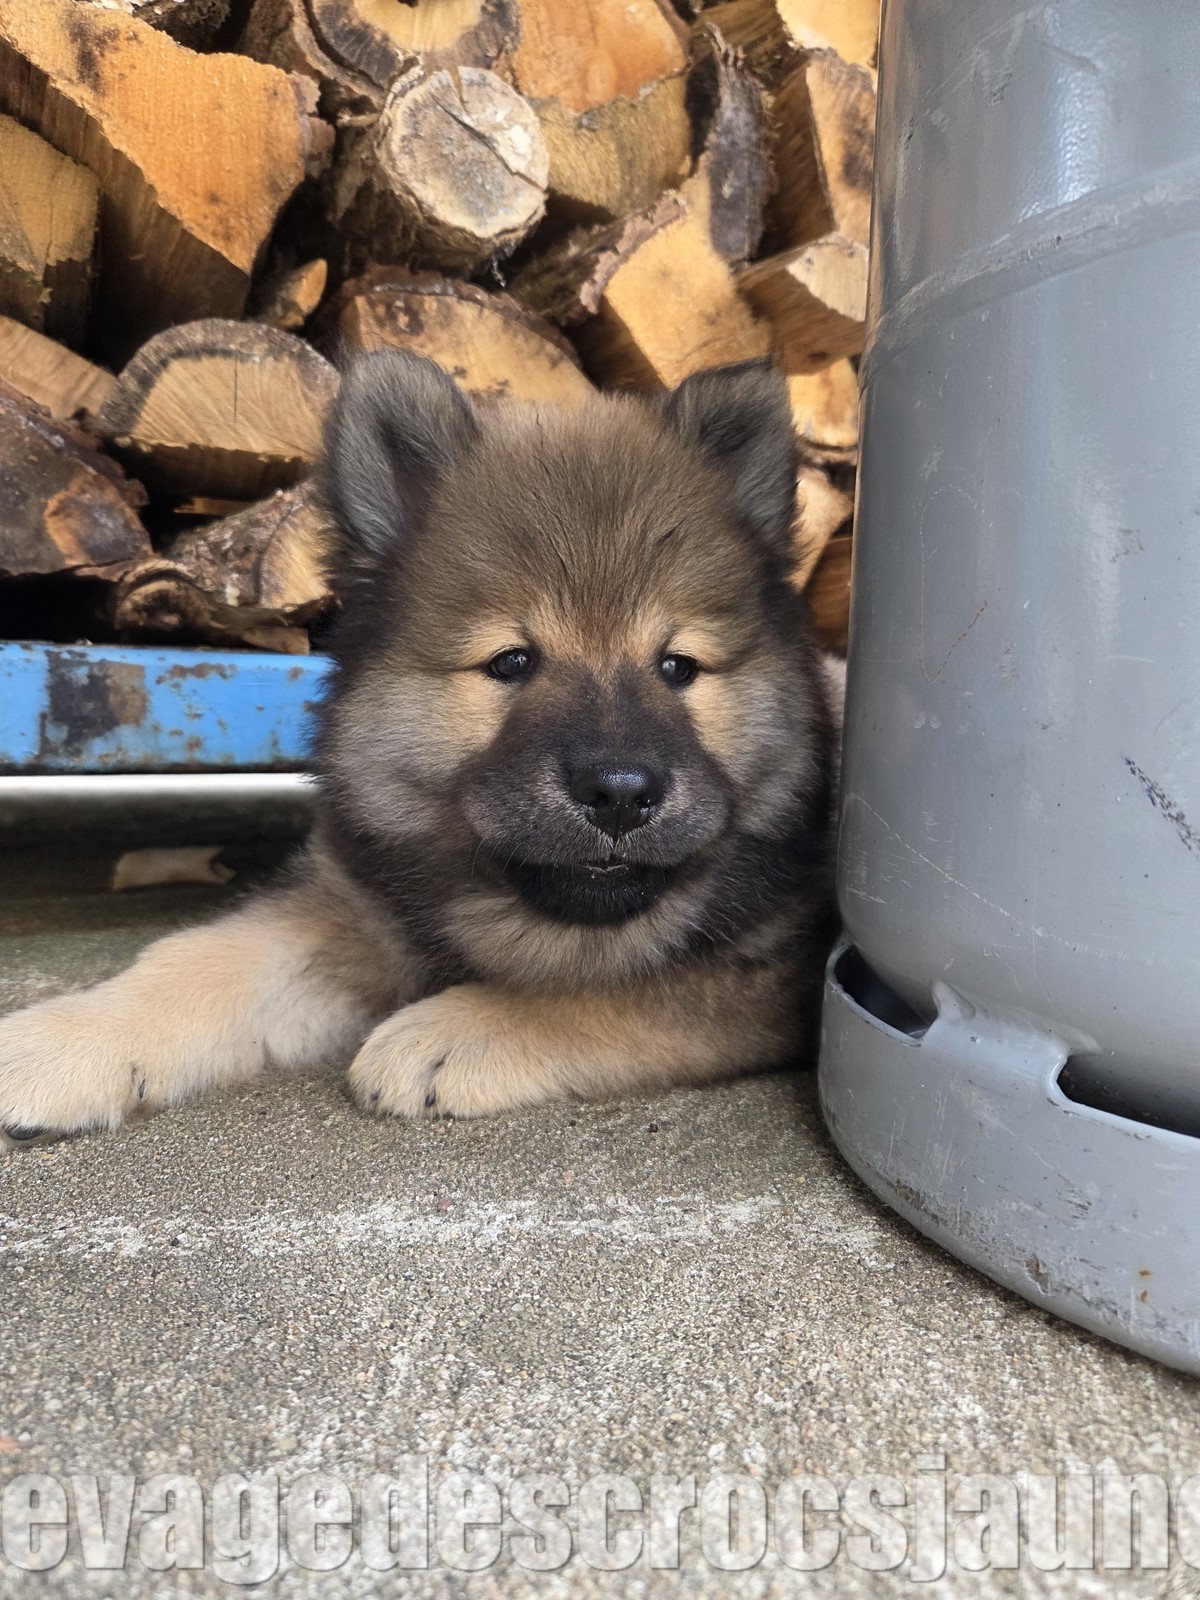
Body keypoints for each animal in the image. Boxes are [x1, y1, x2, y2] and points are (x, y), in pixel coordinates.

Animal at [0, 353, 840, 1141]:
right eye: (512, 662)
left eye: (677, 668)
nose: (622, 793)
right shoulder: (352, 917)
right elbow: (201, 958)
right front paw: (71, 1038)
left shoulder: (766, 972)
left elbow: (624, 986)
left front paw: (458, 1027)